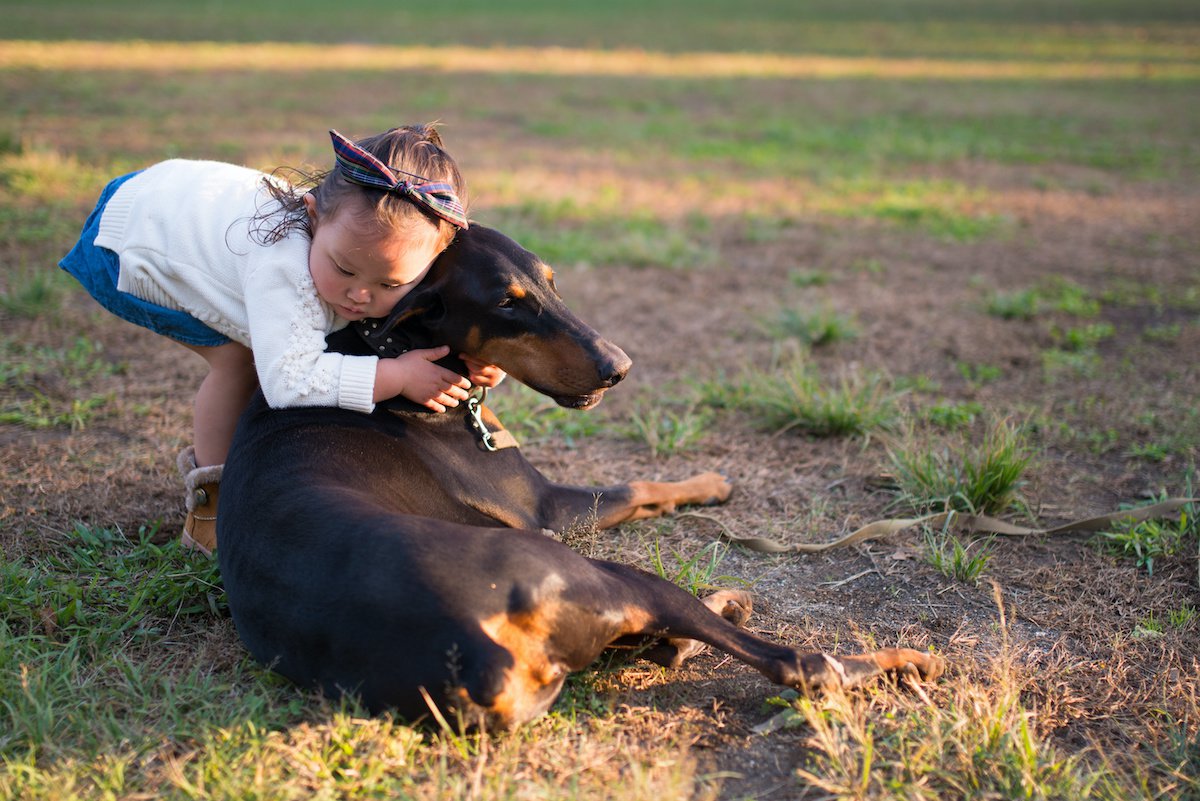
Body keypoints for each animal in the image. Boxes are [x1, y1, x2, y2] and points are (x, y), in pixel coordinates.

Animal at [218, 224, 945, 724]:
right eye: (507, 304)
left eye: (551, 281)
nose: (618, 366)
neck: (394, 345)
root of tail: (473, 657)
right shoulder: (544, 505)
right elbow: (635, 485)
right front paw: (709, 483)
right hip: (604, 572)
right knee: (797, 663)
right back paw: (903, 659)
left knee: (666, 648)